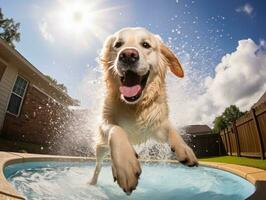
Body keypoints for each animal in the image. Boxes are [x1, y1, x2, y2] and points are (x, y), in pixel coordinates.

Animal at [90, 27, 198, 195]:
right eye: (118, 44)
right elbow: (116, 130)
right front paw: (126, 165)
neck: (135, 105)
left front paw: (185, 149)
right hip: (101, 148)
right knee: (98, 165)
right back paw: (94, 181)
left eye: (146, 45)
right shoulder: (105, 123)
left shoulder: (156, 126)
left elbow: (171, 129)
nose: (128, 55)